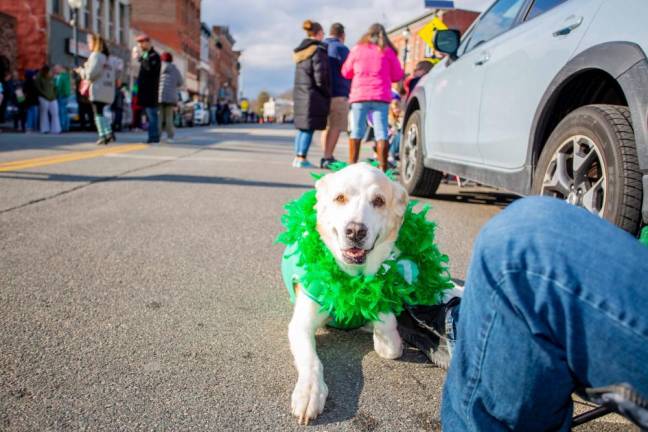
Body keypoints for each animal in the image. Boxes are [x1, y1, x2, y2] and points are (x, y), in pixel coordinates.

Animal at [286, 164, 408, 424]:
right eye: (340, 198)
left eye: (379, 201)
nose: (355, 231)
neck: (352, 276)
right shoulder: (301, 324)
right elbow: (311, 360)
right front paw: (310, 391)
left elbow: (391, 339)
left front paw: (382, 335)